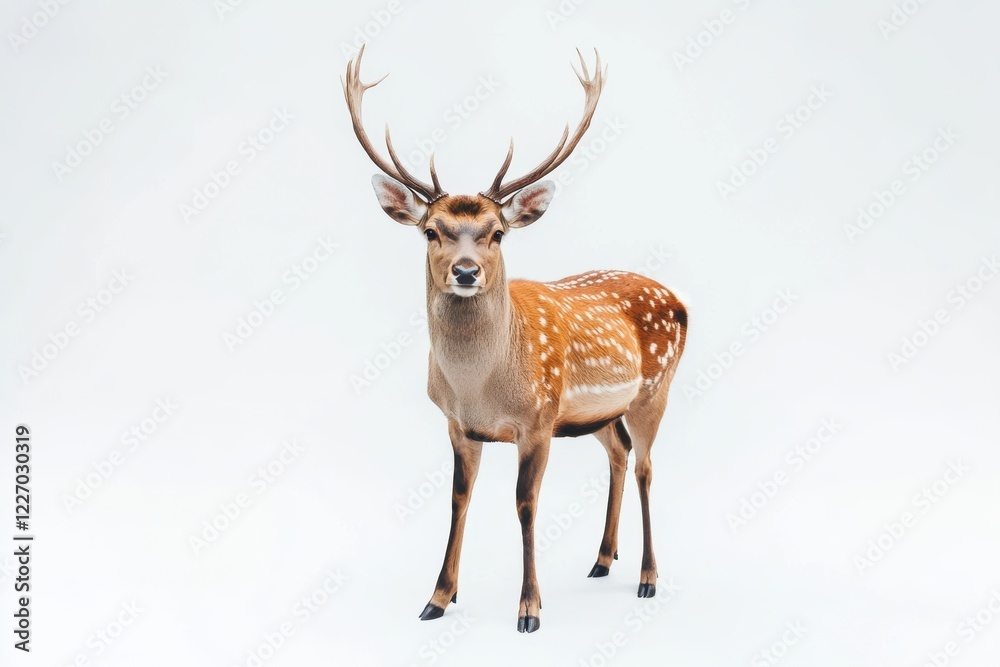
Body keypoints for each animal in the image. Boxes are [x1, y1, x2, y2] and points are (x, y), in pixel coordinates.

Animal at [343, 46, 687, 633]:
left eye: (497, 233)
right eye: (430, 230)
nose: (465, 271)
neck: (480, 387)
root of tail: (680, 299)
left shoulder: (537, 420)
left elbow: (525, 504)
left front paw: (529, 608)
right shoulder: (459, 425)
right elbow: (458, 499)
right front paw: (438, 598)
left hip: (654, 390)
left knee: (646, 466)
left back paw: (647, 577)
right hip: (598, 414)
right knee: (618, 452)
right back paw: (602, 559)